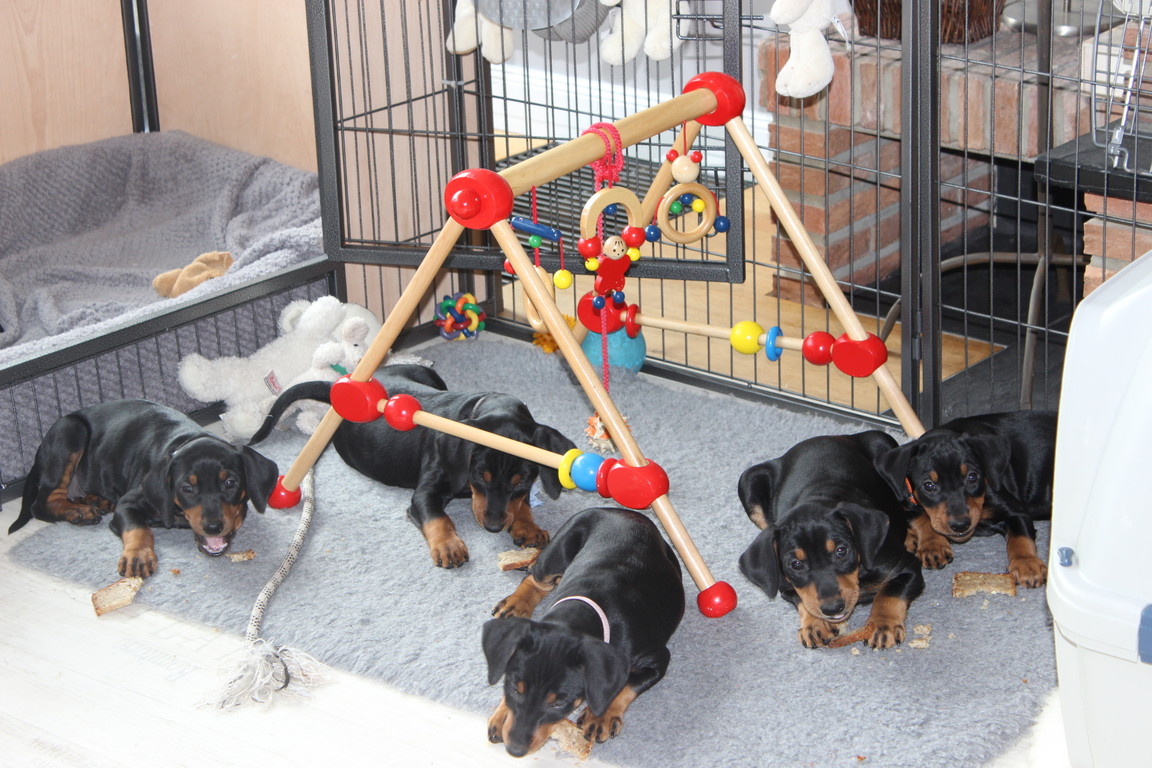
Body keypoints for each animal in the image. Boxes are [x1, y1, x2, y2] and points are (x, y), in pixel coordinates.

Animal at [9, 399, 279, 577]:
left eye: (230, 483)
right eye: (186, 488)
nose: (213, 527)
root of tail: (40, 450)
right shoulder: (129, 503)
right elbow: (138, 528)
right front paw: (138, 556)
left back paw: (96, 501)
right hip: (70, 432)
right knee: (42, 503)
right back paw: (79, 512)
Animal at [248, 364, 577, 569]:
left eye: (522, 481)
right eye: (478, 476)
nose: (494, 527)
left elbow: (521, 503)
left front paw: (527, 525)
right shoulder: (425, 492)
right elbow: (438, 517)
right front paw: (448, 546)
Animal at [483, 507, 684, 757]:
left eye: (559, 703)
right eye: (514, 687)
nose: (514, 750)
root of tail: (622, 512)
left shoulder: (657, 659)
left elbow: (627, 683)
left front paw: (601, 718)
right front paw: (502, 715)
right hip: (558, 549)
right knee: (536, 578)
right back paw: (516, 603)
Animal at [737, 431, 924, 649]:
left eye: (841, 551)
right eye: (796, 564)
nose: (833, 608)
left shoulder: (906, 567)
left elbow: (890, 593)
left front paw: (882, 625)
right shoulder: (786, 587)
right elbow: (803, 600)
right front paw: (814, 625)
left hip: (887, 452)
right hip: (748, 480)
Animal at [873, 410, 1056, 588]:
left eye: (972, 477)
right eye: (929, 486)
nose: (960, 525)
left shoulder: (1015, 509)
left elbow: (1020, 537)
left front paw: (1028, 565)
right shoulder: (904, 499)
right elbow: (920, 515)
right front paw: (933, 544)